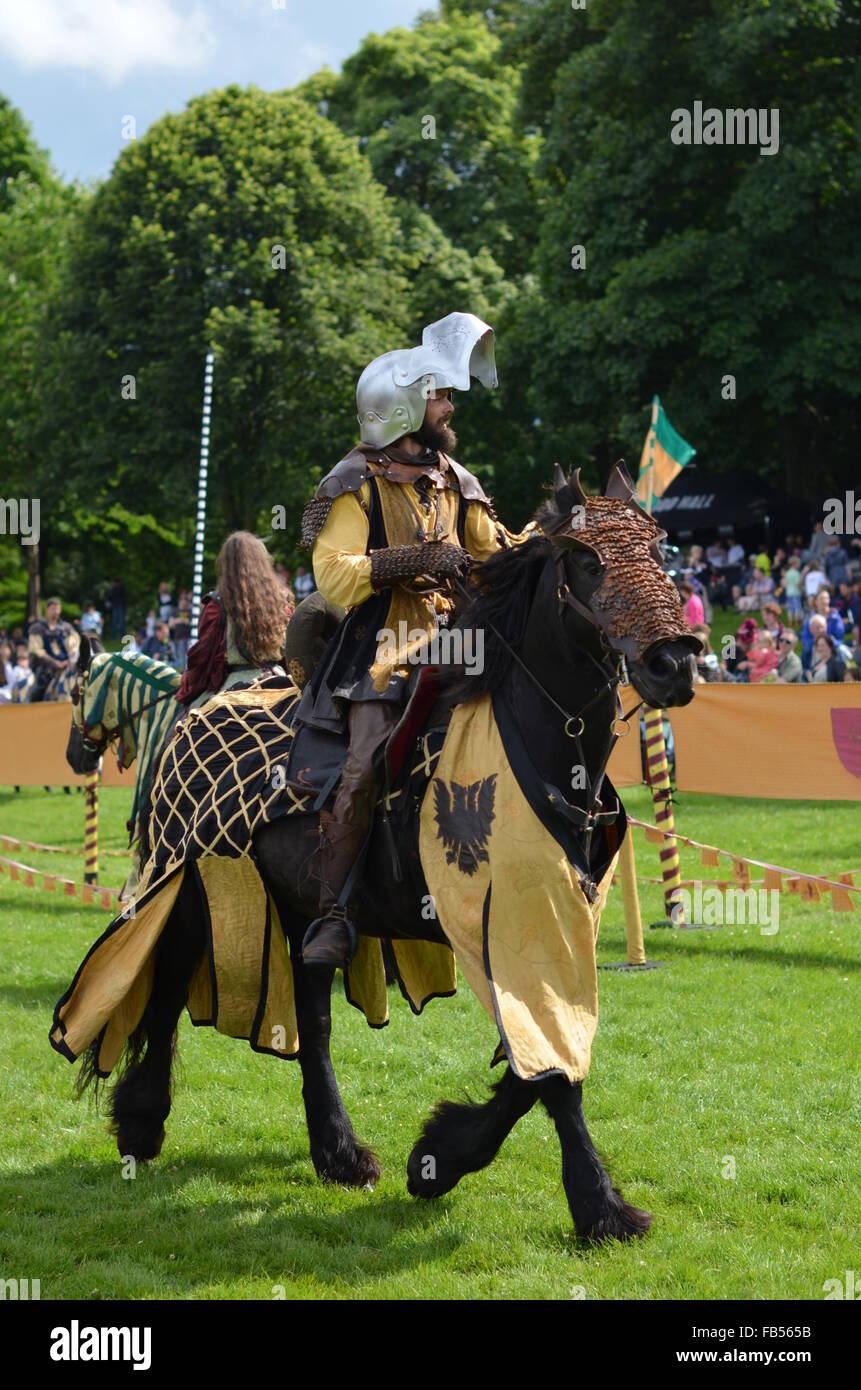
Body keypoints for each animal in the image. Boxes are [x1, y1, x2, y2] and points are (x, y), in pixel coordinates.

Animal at [67, 464, 701, 1239]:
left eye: (659, 549)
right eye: (586, 560)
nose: (674, 662)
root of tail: (190, 718)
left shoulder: (549, 926)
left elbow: (536, 1067)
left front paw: (442, 1157)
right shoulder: (510, 924)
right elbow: (550, 1074)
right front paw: (599, 1205)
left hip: (299, 905)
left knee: (310, 1017)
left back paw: (337, 1151)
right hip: (192, 879)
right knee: (161, 992)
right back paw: (142, 1124)